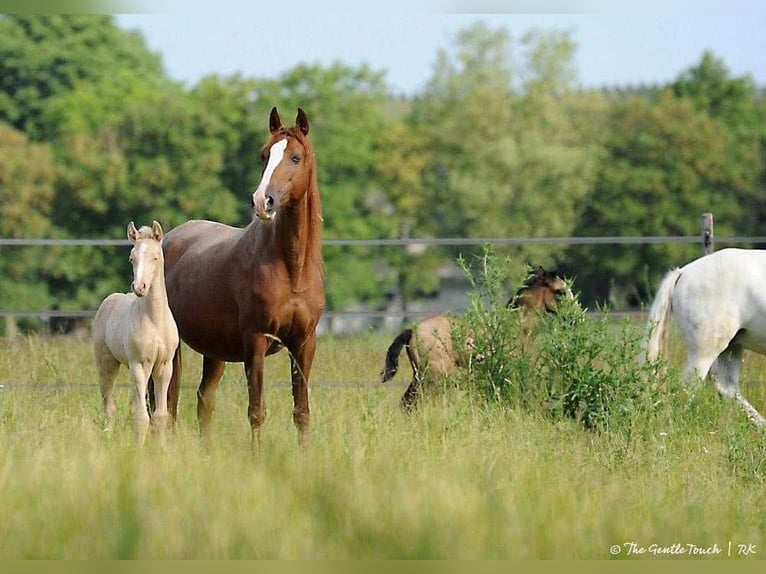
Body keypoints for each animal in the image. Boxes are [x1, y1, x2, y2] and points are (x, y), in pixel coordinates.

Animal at [92, 222, 181, 446]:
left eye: (155, 257)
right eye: (132, 259)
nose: (139, 287)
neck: (155, 320)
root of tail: (109, 300)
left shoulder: (164, 366)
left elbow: (160, 415)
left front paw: (163, 449)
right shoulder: (139, 364)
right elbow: (142, 416)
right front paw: (138, 450)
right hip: (108, 365)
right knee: (110, 407)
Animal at [164, 108, 326, 444]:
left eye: (295, 157)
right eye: (264, 155)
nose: (263, 201)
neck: (292, 271)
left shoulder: (304, 345)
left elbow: (301, 412)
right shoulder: (256, 341)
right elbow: (256, 411)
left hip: (214, 350)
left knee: (204, 400)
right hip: (172, 348)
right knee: (167, 402)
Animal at [382, 268, 568, 410]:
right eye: (560, 292)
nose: (571, 316)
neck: (517, 327)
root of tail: (413, 330)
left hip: (419, 374)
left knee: (407, 402)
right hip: (434, 376)